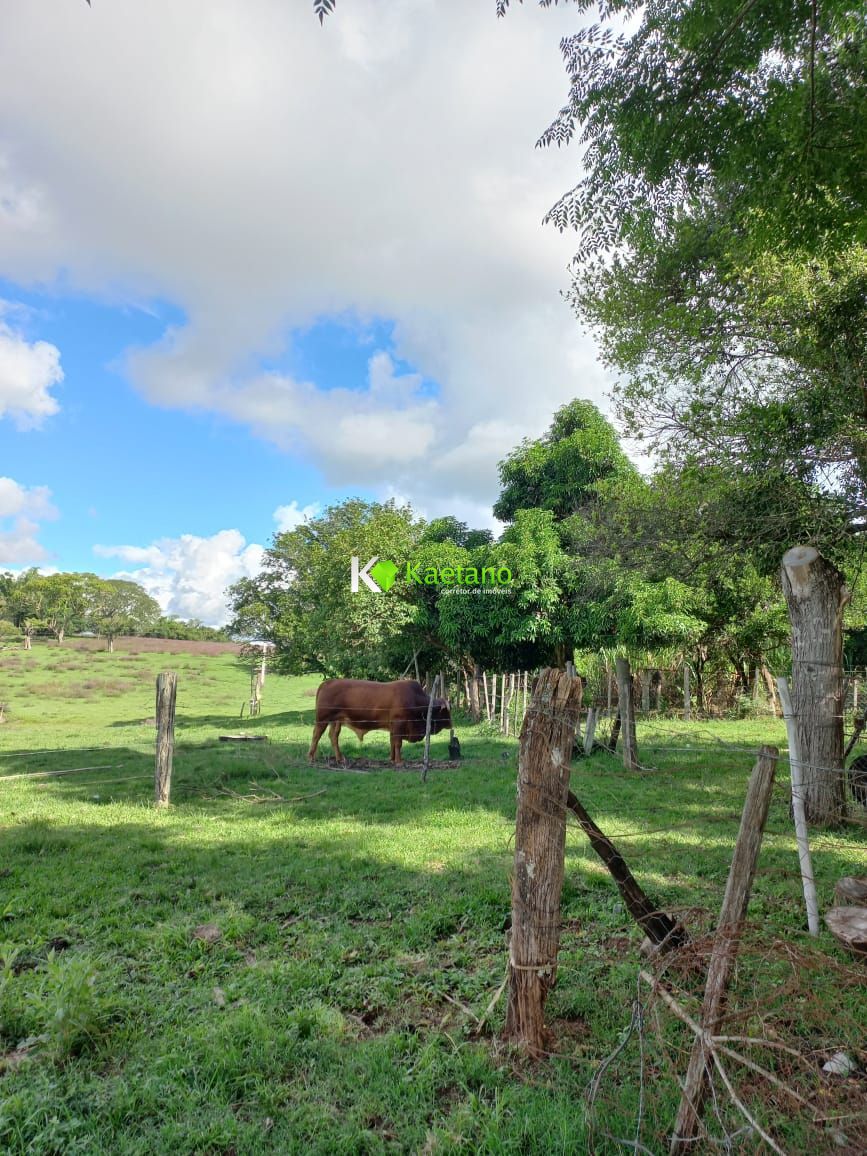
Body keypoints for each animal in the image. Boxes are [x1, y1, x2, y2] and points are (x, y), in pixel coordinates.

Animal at [307, 675, 455, 767]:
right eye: (446, 712)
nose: (451, 724)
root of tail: (327, 682)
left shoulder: (393, 727)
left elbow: (392, 743)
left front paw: (392, 759)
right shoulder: (399, 724)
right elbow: (398, 744)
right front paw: (399, 761)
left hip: (336, 721)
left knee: (333, 737)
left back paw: (340, 758)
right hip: (322, 719)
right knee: (316, 735)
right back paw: (311, 757)